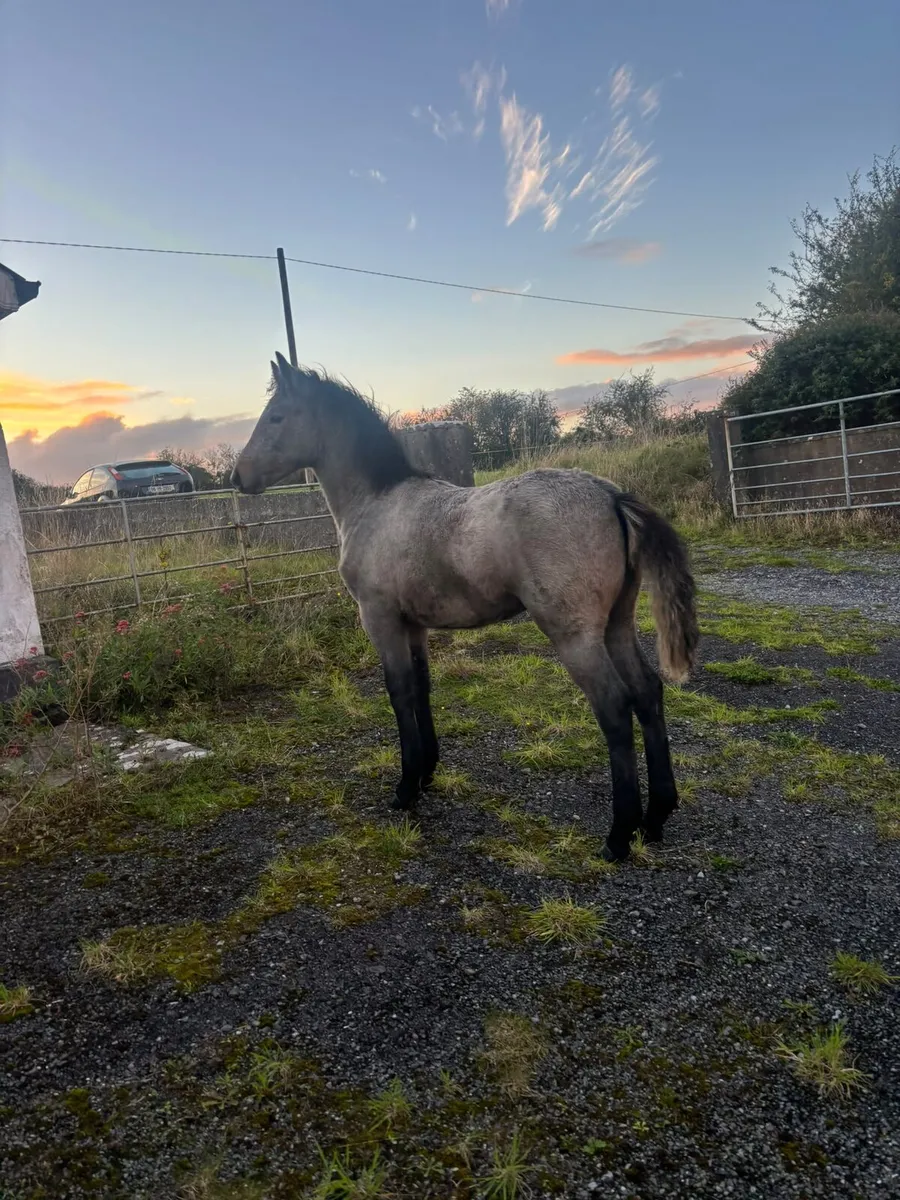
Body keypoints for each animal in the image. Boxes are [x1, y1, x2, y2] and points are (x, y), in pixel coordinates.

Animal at [233, 353, 699, 861]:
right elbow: (421, 688)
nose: (237, 477)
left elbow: (399, 693)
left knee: (614, 706)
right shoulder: (414, 625)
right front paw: (427, 772)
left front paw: (405, 789)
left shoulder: (379, 618)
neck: (377, 504)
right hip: (617, 624)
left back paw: (619, 836)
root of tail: (611, 495)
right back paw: (655, 819)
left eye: (277, 416)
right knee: (647, 692)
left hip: (575, 636)